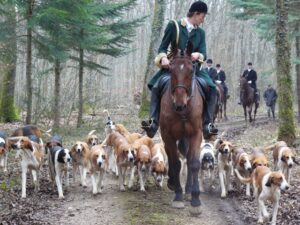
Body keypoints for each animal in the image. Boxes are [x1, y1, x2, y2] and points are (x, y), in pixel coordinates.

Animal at [159, 42, 204, 214]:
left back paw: (189, 190)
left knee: (189, 158)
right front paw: (178, 195)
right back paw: (173, 183)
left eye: (192, 70)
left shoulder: (196, 134)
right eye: (171, 69)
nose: (180, 105)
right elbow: (176, 163)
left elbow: (194, 163)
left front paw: (196, 200)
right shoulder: (168, 135)